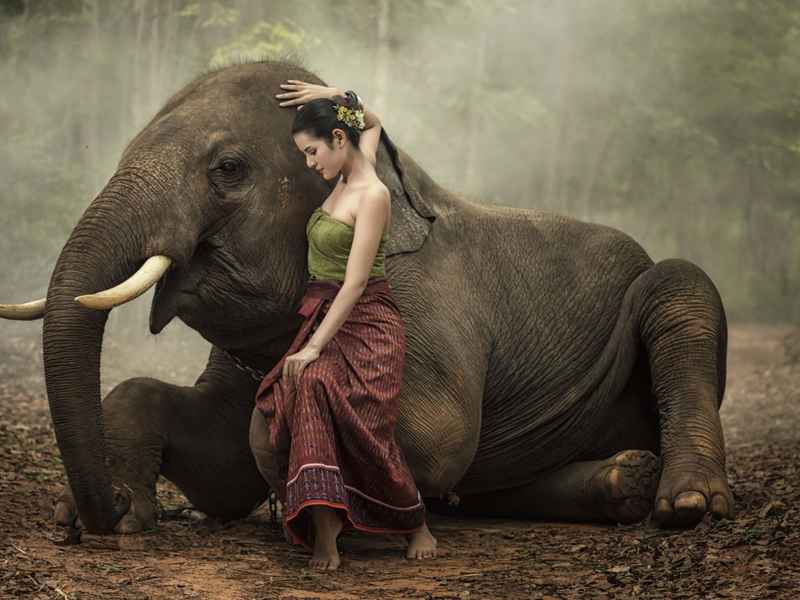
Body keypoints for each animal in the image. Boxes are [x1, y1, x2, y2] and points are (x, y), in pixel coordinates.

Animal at [1, 59, 732, 536]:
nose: (103, 513)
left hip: (663, 291)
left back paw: (684, 504)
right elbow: (222, 467)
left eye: (228, 169)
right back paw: (622, 481)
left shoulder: (427, 304)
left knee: (682, 291)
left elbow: (438, 438)